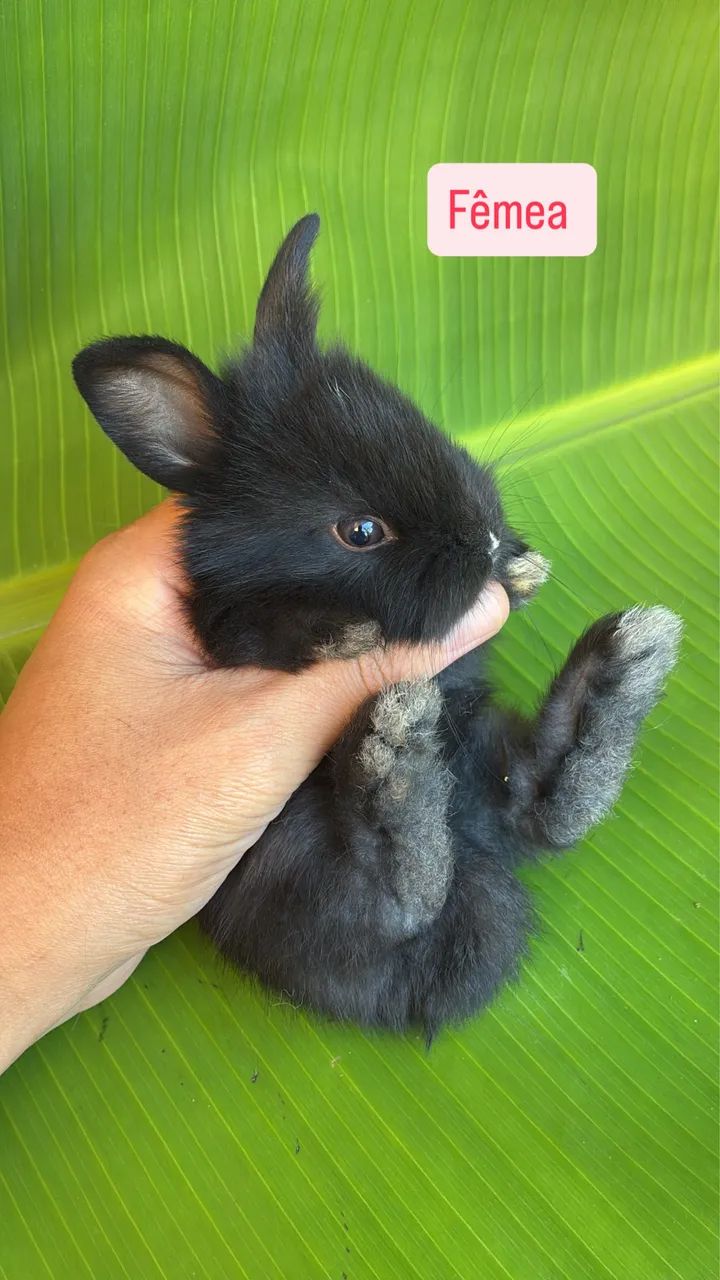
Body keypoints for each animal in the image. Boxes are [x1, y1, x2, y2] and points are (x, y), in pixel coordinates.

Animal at [72, 214, 682, 1039]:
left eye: (423, 423)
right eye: (360, 532)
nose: (484, 538)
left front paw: (523, 572)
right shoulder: (222, 623)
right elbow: (264, 627)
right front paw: (345, 637)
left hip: (477, 748)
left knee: (535, 805)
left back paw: (620, 670)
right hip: (288, 860)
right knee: (397, 901)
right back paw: (397, 767)